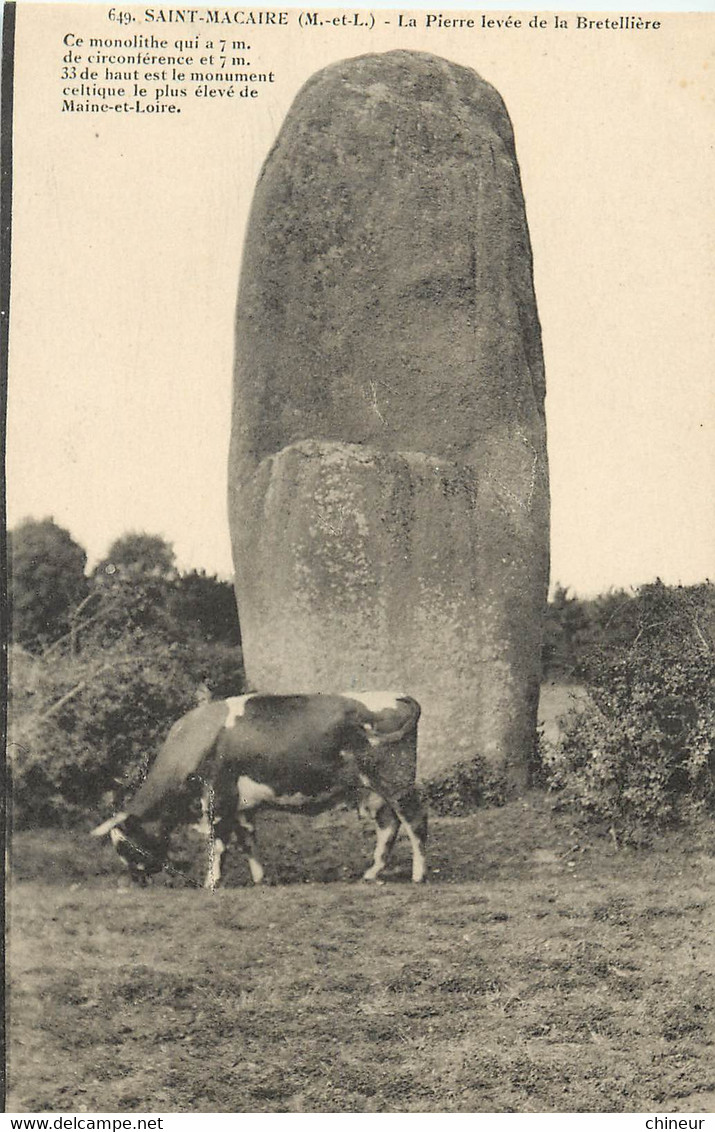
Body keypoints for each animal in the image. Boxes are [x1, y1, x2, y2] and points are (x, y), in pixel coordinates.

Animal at [89, 692, 427, 887]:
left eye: (126, 845)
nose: (135, 879)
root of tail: (396, 695)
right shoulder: (242, 806)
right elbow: (248, 841)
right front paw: (259, 879)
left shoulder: (218, 799)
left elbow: (219, 844)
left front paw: (211, 882)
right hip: (374, 791)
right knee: (389, 826)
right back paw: (372, 873)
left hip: (396, 781)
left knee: (415, 822)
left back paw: (418, 875)